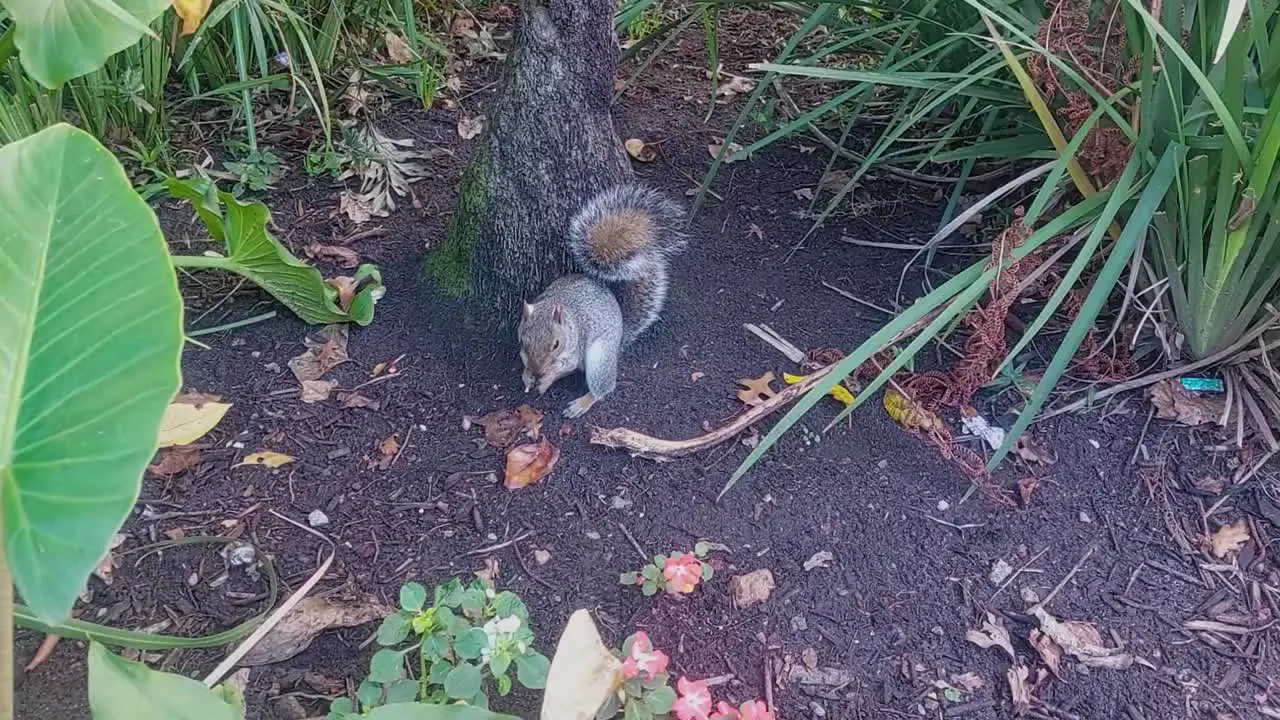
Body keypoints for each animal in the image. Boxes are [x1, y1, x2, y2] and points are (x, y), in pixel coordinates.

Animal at [517, 181, 691, 417]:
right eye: (523, 341)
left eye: (556, 344)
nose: (537, 371)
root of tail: (620, 339)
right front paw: (527, 377)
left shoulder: (575, 347)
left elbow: (565, 368)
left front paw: (546, 380)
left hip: (601, 356)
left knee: (602, 388)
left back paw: (582, 403)